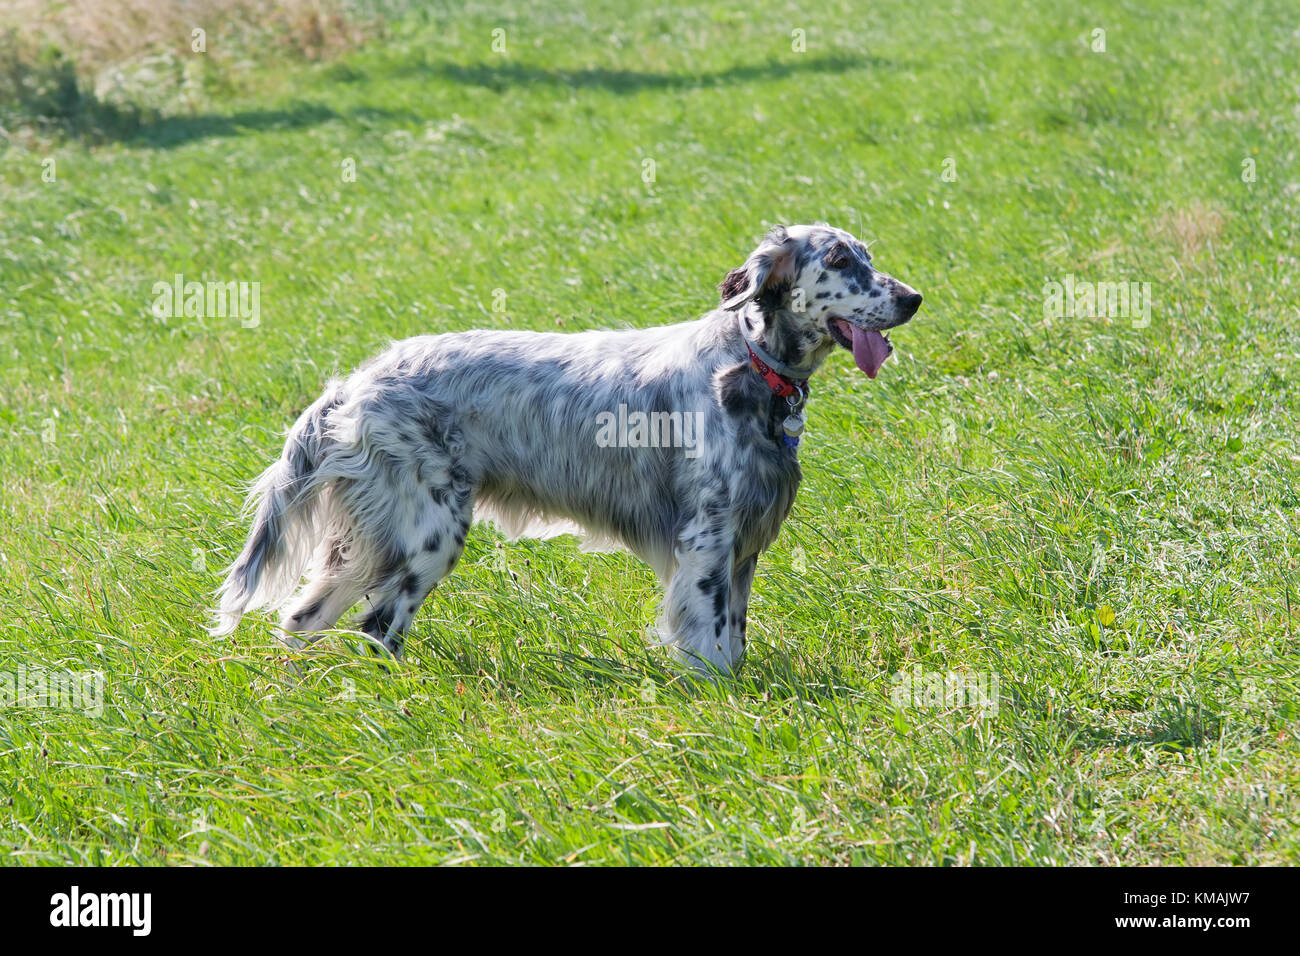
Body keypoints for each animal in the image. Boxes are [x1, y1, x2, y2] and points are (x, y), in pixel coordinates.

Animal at [213, 222, 920, 671]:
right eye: (838, 261)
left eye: (865, 254)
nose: (914, 298)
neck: (747, 361)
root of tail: (353, 384)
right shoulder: (708, 542)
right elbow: (713, 646)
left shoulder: (742, 546)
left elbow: (735, 639)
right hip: (427, 534)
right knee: (376, 628)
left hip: (370, 542)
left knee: (303, 618)